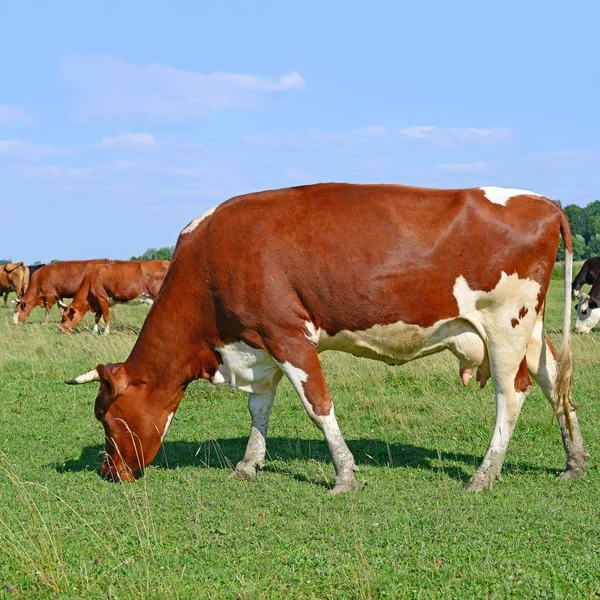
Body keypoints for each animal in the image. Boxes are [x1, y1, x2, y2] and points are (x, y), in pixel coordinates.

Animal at [65, 183, 584, 492]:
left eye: (105, 418)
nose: (109, 472)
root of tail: (544, 202)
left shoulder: (288, 336)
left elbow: (318, 406)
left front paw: (344, 474)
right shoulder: (257, 344)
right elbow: (259, 409)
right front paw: (249, 464)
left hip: (506, 324)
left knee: (511, 394)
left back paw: (484, 474)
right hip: (531, 329)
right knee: (554, 382)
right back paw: (575, 461)